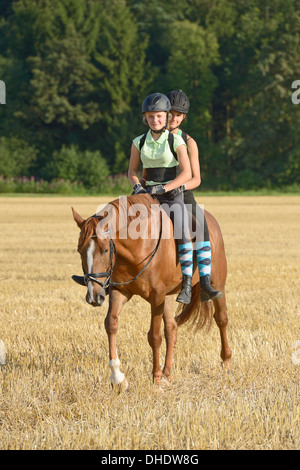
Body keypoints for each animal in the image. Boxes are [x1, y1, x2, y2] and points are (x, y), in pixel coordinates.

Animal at [71, 193, 231, 388]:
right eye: (79, 250)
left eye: (106, 249)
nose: (94, 296)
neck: (138, 246)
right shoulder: (121, 291)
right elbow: (111, 324)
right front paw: (117, 377)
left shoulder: (156, 297)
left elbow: (154, 336)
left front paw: (156, 379)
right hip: (169, 296)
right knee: (172, 328)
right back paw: (168, 373)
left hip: (217, 284)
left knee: (221, 319)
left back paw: (226, 362)